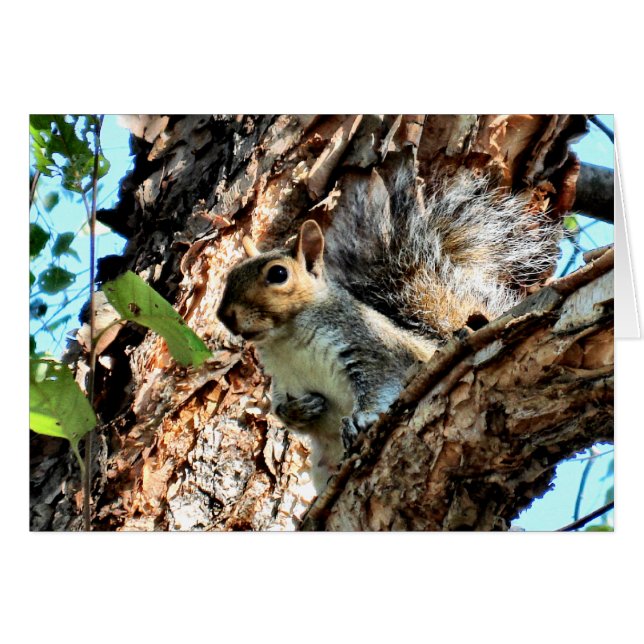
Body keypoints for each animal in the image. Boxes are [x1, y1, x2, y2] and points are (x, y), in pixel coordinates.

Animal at [217, 160, 560, 493]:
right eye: (230, 275)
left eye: (278, 274)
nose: (224, 316)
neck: (287, 341)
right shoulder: (284, 381)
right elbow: (280, 411)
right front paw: (299, 410)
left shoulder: (366, 345)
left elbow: (380, 382)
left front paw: (362, 418)